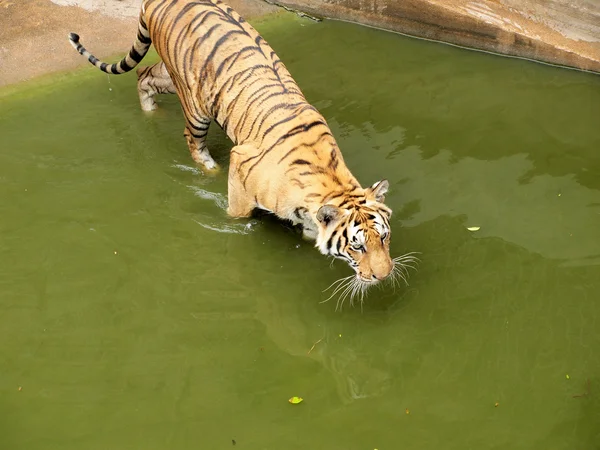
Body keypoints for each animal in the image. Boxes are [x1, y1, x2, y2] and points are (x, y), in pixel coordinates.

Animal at [65, 0, 412, 306]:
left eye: (384, 238)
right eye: (356, 247)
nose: (384, 276)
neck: (329, 178)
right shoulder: (241, 168)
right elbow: (238, 213)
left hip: (171, 77)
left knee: (144, 75)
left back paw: (151, 113)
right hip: (195, 104)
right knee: (191, 138)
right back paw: (206, 166)